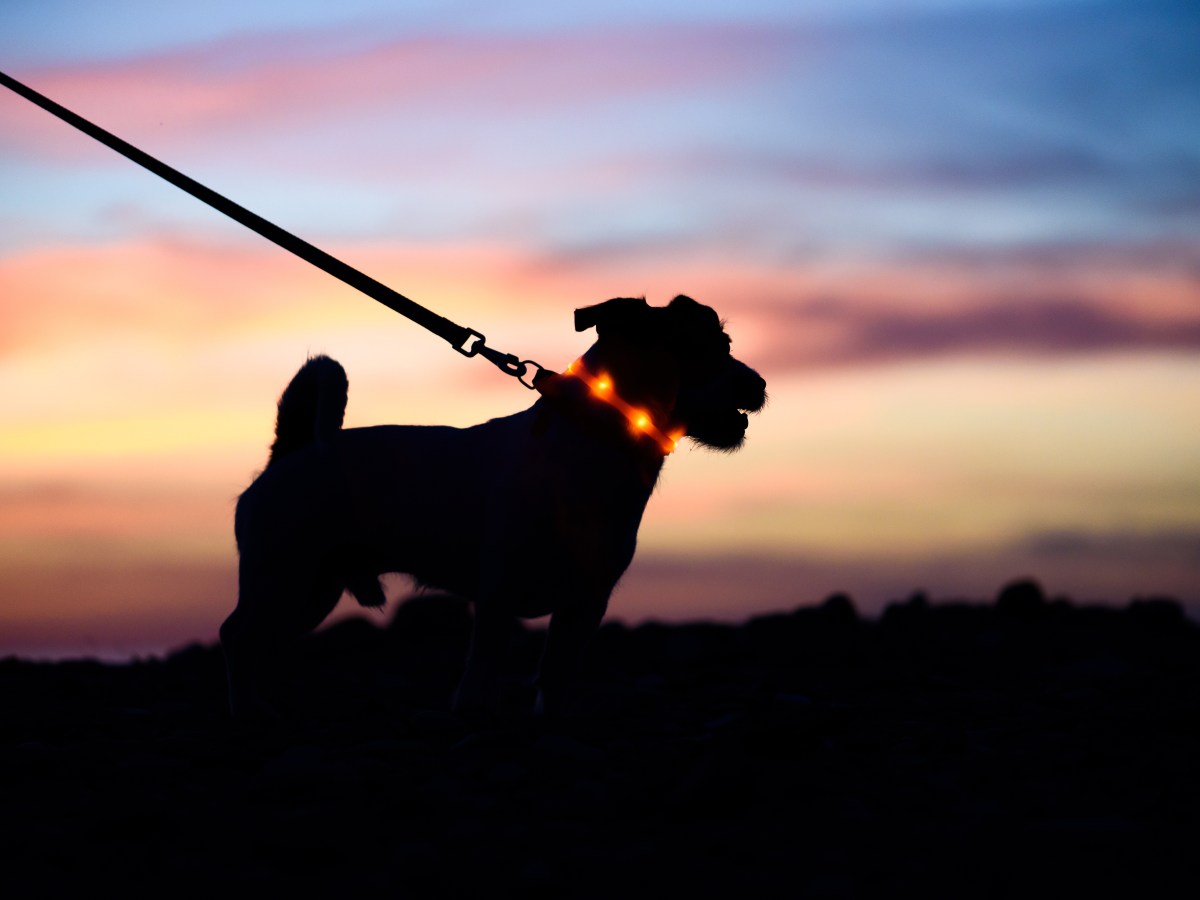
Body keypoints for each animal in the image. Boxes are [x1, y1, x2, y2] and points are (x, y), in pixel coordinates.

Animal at [223, 296, 768, 720]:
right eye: (705, 348)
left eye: (727, 342)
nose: (761, 384)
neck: (597, 437)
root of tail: (290, 452)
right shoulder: (498, 596)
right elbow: (483, 673)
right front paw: (475, 710)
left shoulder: (585, 602)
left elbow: (558, 674)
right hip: (282, 577)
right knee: (237, 637)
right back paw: (249, 709)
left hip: (310, 591)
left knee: (260, 642)